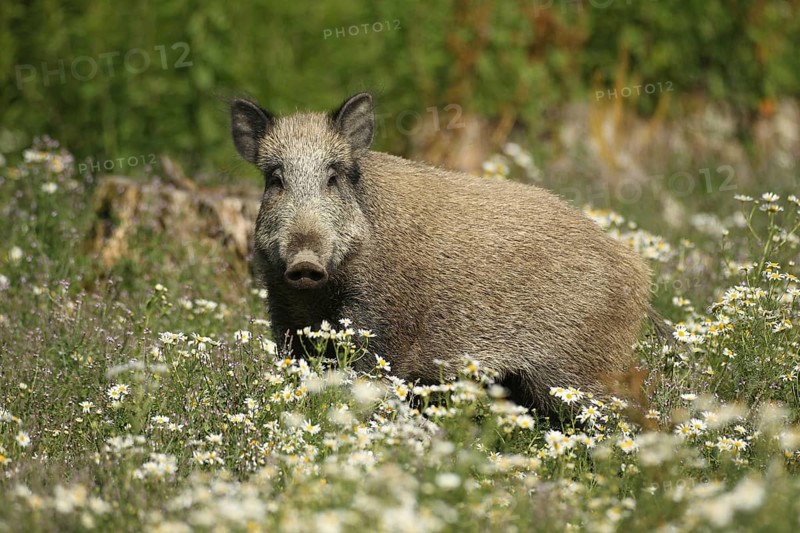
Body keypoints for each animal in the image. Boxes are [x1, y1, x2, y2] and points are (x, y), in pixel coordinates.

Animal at [230, 93, 653, 411]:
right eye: (275, 179)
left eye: (333, 177)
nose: (304, 262)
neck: (321, 294)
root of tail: (639, 271)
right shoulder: (286, 316)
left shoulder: (382, 325)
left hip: (581, 372)